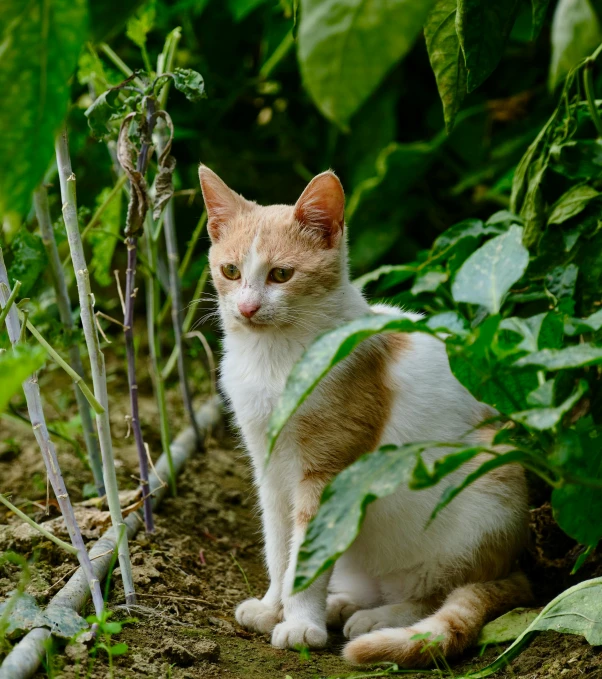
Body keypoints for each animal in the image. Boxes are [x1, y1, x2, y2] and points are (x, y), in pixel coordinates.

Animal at [198, 166, 528, 668]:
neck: (274, 358)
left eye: (281, 274)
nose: (248, 308)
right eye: (230, 271)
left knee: (439, 591)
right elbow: (280, 547)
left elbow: (306, 555)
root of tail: (518, 565)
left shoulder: (327, 471)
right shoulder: (269, 470)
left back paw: (377, 619)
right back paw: (343, 604)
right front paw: (274, 607)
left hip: (486, 496)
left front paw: (300, 624)